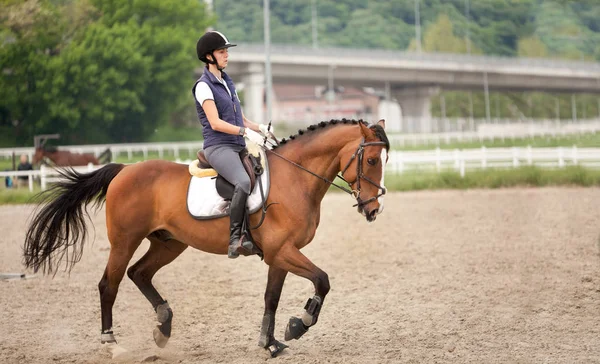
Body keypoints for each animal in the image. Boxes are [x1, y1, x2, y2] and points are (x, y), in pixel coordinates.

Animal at [22, 118, 390, 356]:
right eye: (371, 159)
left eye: (384, 159)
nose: (373, 210)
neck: (294, 179)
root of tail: (125, 170)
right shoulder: (283, 252)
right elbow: (322, 280)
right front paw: (300, 323)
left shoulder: (279, 254)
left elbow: (271, 298)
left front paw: (270, 342)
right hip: (125, 241)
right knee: (108, 284)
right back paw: (111, 342)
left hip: (169, 243)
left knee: (138, 273)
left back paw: (163, 326)